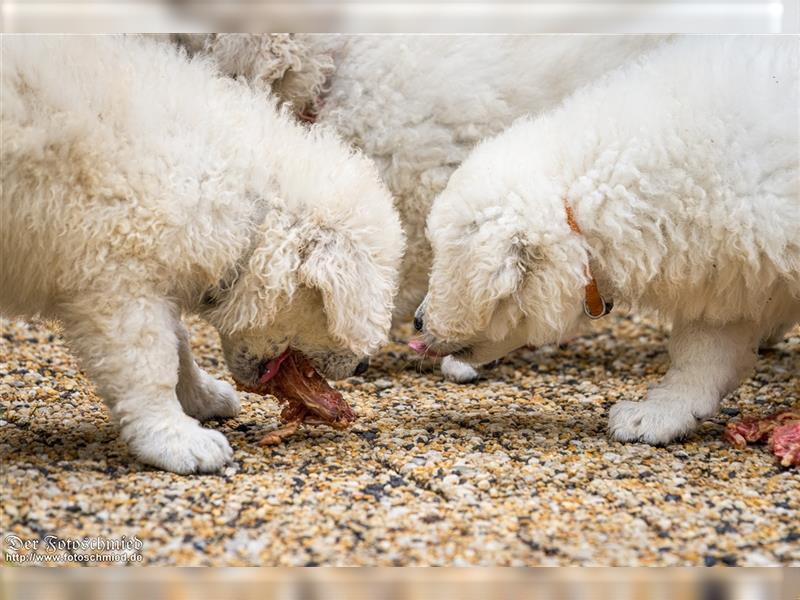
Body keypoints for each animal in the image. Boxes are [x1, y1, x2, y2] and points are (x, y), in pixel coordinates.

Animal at [3, 36, 406, 474]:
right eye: (330, 314)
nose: (363, 366)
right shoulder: (117, 279)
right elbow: (149, 361)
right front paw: (175, 439)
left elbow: (178, 341)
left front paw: (201, 398)